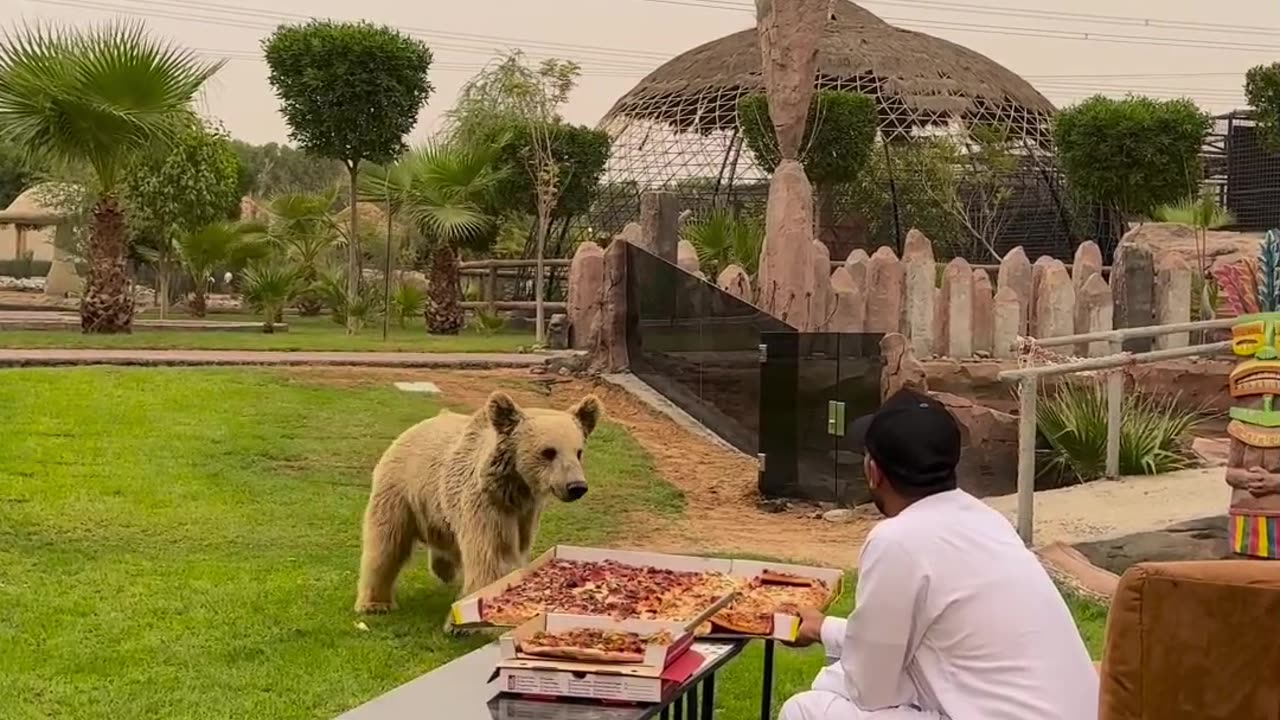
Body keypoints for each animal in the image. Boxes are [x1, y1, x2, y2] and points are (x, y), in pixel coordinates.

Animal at [355, 386, 604, 609]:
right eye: (549, 452)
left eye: (579, 452)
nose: (576, 486)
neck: (514, 488)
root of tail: (414, 428)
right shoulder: (487, 505)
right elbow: (493, 555)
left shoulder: (526, 514)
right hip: (400, 492)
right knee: (387, 543)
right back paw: (375, 602)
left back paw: (443, 570)